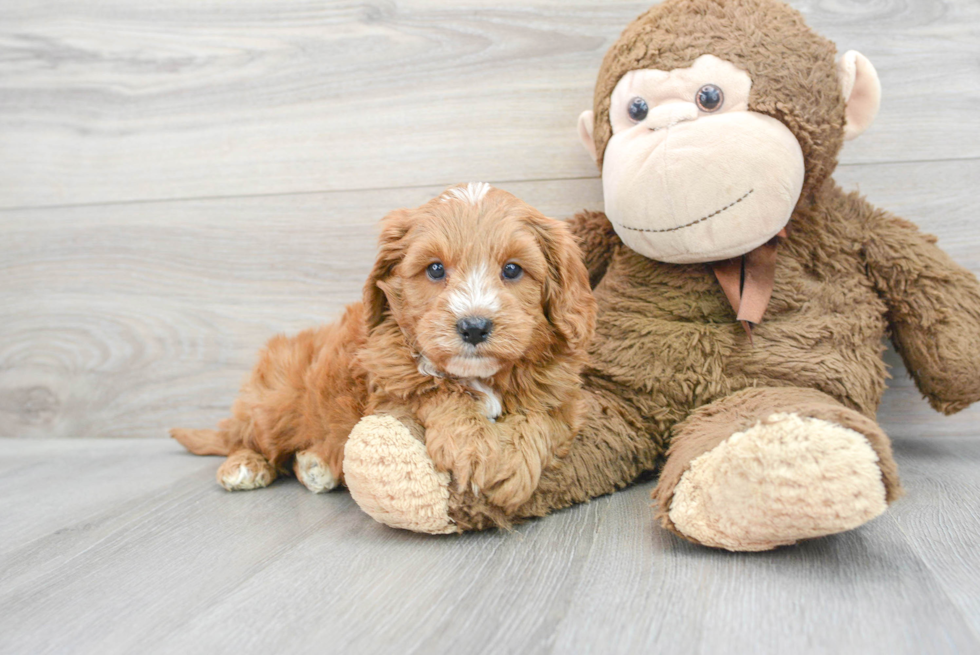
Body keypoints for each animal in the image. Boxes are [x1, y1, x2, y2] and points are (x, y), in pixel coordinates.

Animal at [172, 184, 592, 512]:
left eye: (512, 270)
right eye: (435, 269)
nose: (474, 327)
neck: (481, 376)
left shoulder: (560, 394)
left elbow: (539, 417)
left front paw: (512, 466)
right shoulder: (391, 386)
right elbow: (439, 390)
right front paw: (474, 449)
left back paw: (315, 465)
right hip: (277, 399)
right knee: (245, 439)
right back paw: (243, 466)